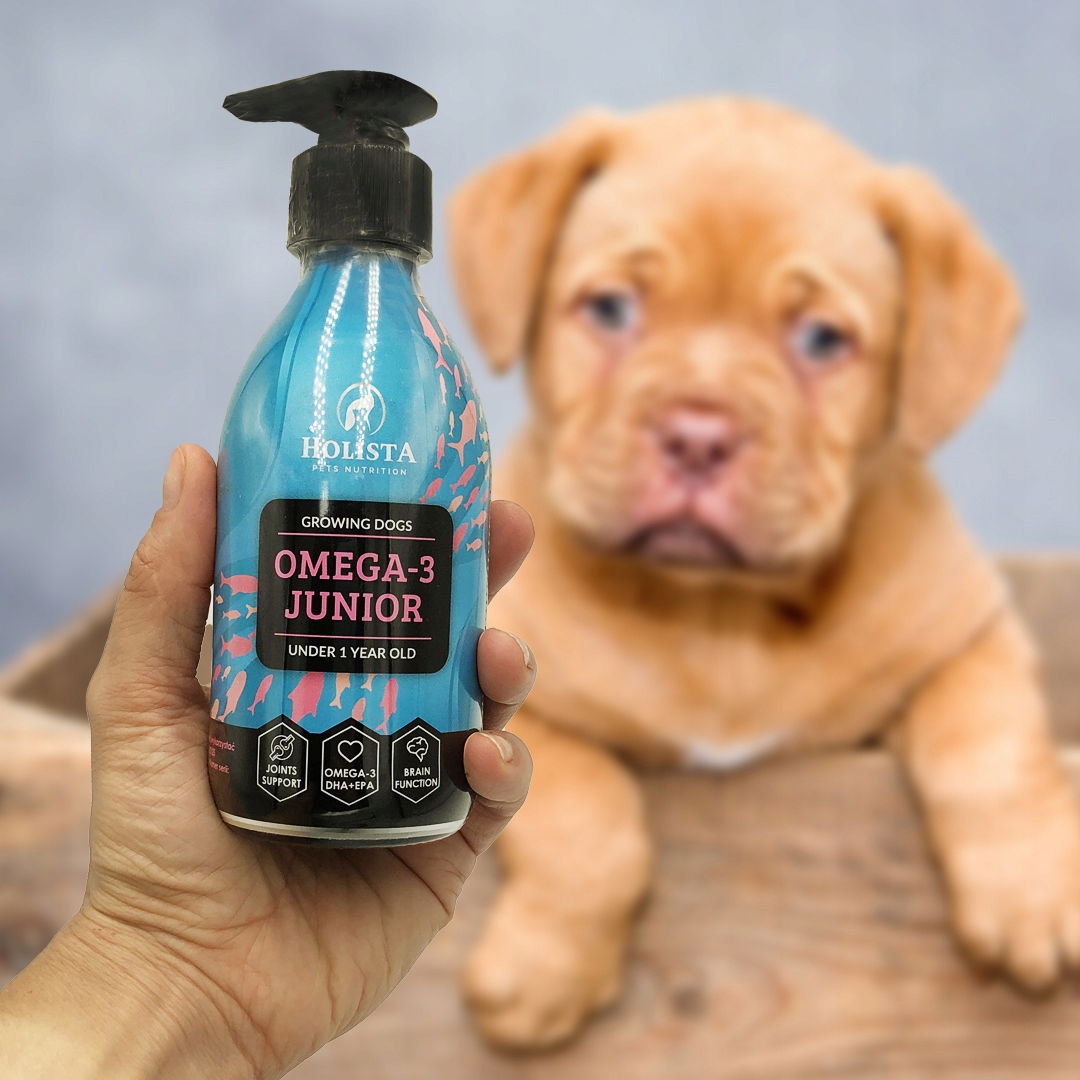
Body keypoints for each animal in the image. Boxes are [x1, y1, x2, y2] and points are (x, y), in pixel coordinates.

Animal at [447, 99, 1080, 1050]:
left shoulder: (967, 632)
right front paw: (544, 973)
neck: (720, 617)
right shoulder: (525, 703)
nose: (699, 435)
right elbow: (588, 815)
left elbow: (990, 742)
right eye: (610, 309)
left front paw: (1030, 893)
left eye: (821, 339)